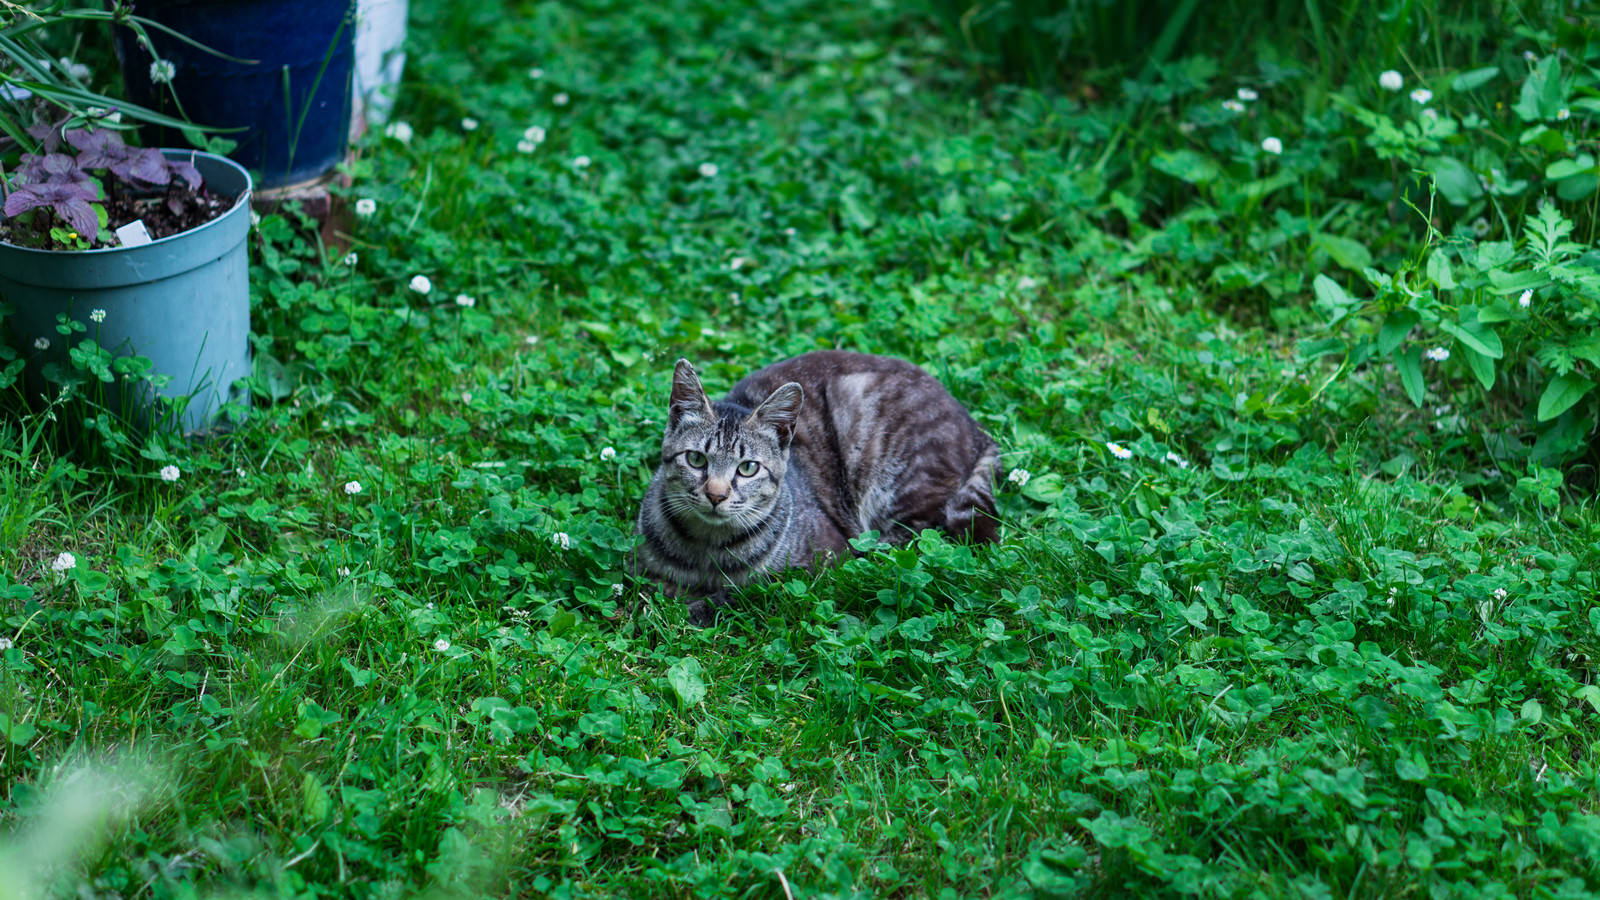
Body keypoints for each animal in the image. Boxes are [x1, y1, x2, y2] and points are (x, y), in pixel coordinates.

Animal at [636, 350, 998, 624]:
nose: (715, 494)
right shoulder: (641, 569)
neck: (707, 549)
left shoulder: (811, 565)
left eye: (748, 468)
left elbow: (743, 591)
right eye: (696, 459)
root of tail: (975, 428)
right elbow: (649, 590)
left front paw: (688, 610)